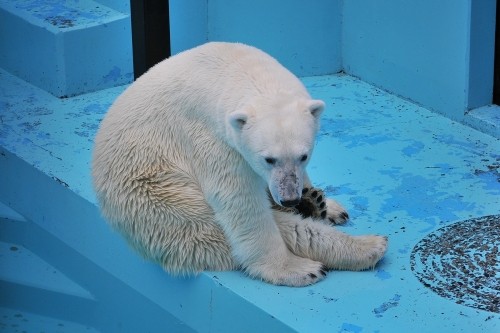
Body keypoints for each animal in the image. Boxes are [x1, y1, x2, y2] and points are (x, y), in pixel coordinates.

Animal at [93, 41, 386, 286]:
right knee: (227, 229)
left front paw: (314, 197)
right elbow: (241, 204)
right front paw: (294, 269)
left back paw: (319, 205)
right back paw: (366, 246)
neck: (227, 67)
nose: (290, 198)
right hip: (161, 201)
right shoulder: (211, 138)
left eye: (304, 156)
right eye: (268, 159)